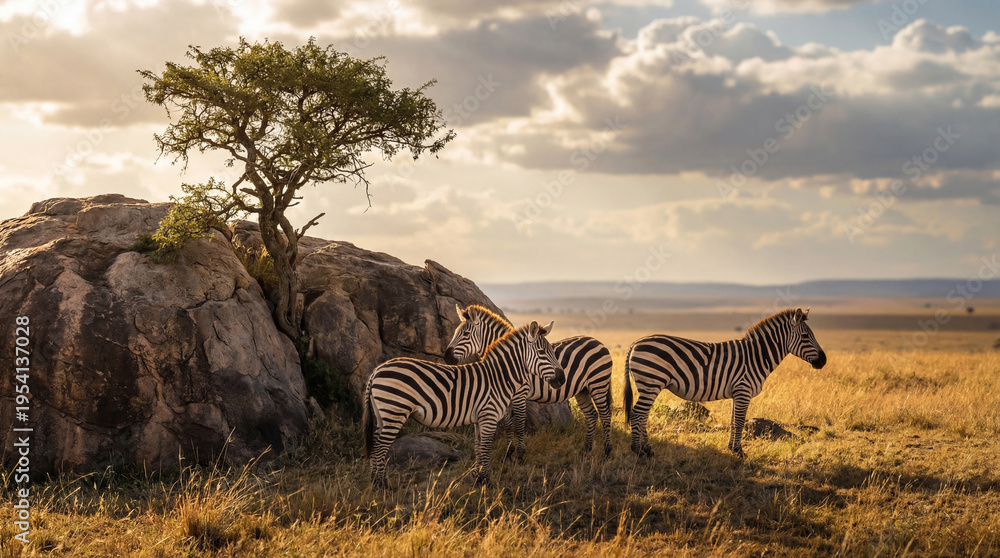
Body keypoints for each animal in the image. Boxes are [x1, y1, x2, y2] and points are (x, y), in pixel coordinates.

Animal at [363, 320, 565, 488]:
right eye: (542, 353)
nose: (562, 379)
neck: (499, 377)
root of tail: (376, 371)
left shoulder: (479, 419)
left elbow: (478, 447)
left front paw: (477, 478)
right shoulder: (489, 416)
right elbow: (486, 448)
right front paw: (487, 482)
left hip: (383, 414)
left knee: (376, 442)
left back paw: (376, 481)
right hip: (394, 411)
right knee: (380, 446)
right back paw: (381, 485)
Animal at [444, 304, 614, 460]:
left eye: (466, 334)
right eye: (455, 332)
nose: (447, 357)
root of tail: (598, 341)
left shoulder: (520, 394)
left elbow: (519, 425)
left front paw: (519, 456)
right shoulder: (506, 395)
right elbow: (509, 424)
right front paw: (508, 453)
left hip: (598, 384)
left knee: (605, 415)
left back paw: (606, 452)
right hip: (582, 390)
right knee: (592, 416)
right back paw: (585, 451)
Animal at [623, 308, 826, 459]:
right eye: (805, 336)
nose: (824, 361)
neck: (756, 357)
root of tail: (634, 343)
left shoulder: (737, 393)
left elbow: (733, 421)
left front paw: (732, 448)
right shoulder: (743, 390)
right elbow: (739, 422)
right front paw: (740, 452)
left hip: (648, 386)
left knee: (642, 415)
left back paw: (648, 449)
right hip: (651, 383)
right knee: (637, 414)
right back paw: (638, 451)